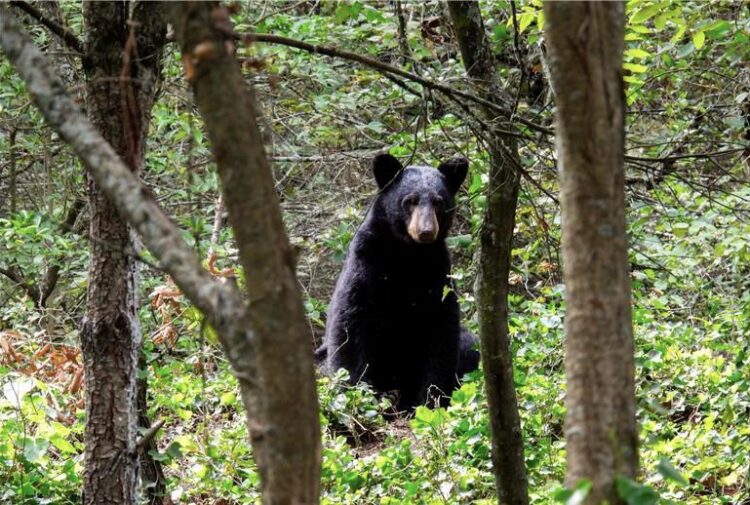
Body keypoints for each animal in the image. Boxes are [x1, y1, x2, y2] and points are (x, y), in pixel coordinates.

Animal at [315, 153, 479, 411]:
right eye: (410, 201)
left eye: (439, 202)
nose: (426, 231)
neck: (407, 254)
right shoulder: (367, 263)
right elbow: (350, 322)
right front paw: (356, 395)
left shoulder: (437, 275)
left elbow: (441, 332)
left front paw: (430, 400)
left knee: (470, 345)